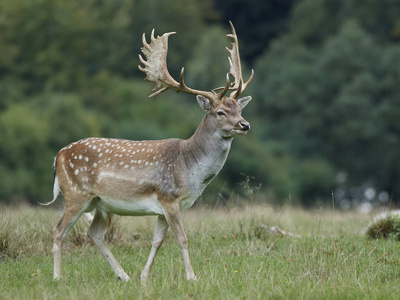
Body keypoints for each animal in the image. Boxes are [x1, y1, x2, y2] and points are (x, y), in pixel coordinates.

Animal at [44, 21, 253, 282]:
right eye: (221, 112)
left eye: (239, 109)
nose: (245, 125)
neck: (190, 168)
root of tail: (58, 156)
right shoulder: (169, 198)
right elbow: (182, 239)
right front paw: (192, 277)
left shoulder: (164, 207)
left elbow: (157, 241)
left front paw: (144, 276)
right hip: (75, 193)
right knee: (58, 230)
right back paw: (57, 277)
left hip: (100, 203)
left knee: (95, 234)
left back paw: (124, 275)